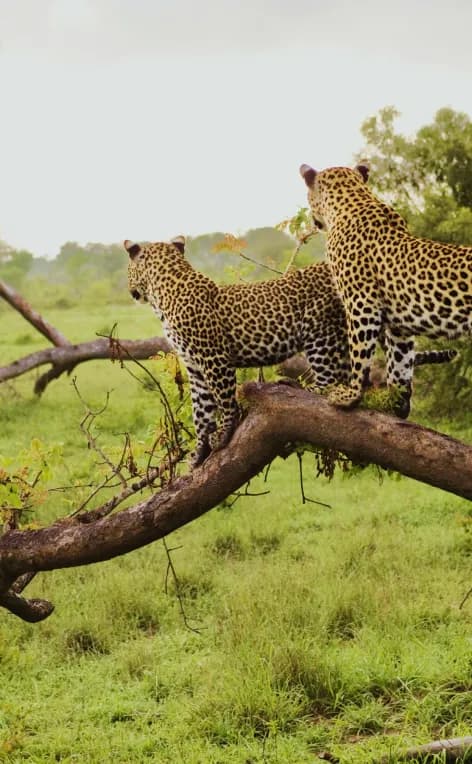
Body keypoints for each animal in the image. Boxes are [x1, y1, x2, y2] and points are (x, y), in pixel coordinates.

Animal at [125, 236, 455, 466]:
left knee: (331, 380)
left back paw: (301, 386)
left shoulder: (213, 358)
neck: (164, 293)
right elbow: (201, 411)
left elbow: (224, 400)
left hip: (320, 331)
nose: (131, 291)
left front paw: (224, 433)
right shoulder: (194, 367)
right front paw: (198, 452)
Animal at [300, 163, 471, 414]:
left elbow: (359, 354)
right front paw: (396, 402)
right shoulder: (400, 325)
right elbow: (400, 361)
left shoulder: (362, 303)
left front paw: (349, 396)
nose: (314, 222)